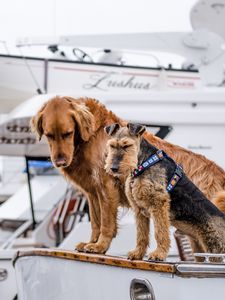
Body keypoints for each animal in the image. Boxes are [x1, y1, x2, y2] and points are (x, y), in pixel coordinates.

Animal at [30, 95, 225, 253]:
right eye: (49, 135)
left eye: (68, 133)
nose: (60, 162)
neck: (91, 135)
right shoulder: (92, 191)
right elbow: (95, 222)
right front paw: (91, 242)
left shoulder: (107, 186)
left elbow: (106, 223)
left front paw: (100, 246)